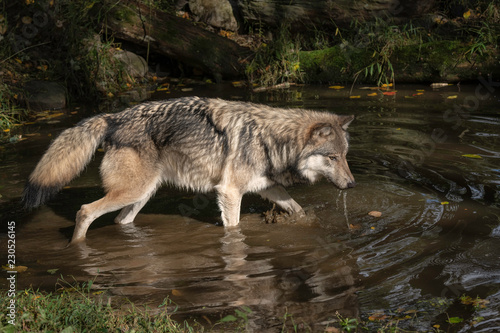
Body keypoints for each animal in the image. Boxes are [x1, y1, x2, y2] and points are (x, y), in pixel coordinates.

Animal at [22, 97, 356, 243]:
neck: (270, 138)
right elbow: (234, 228)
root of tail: (112, 117)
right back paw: (75, 247)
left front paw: (305, 221)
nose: (352, 185)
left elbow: (297, 208)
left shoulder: (267, 186)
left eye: (345, 156)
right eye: (332, 157)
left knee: (119, 221)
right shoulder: (229, 192)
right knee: (84, 211)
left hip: (142, 195)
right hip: (132, 191)